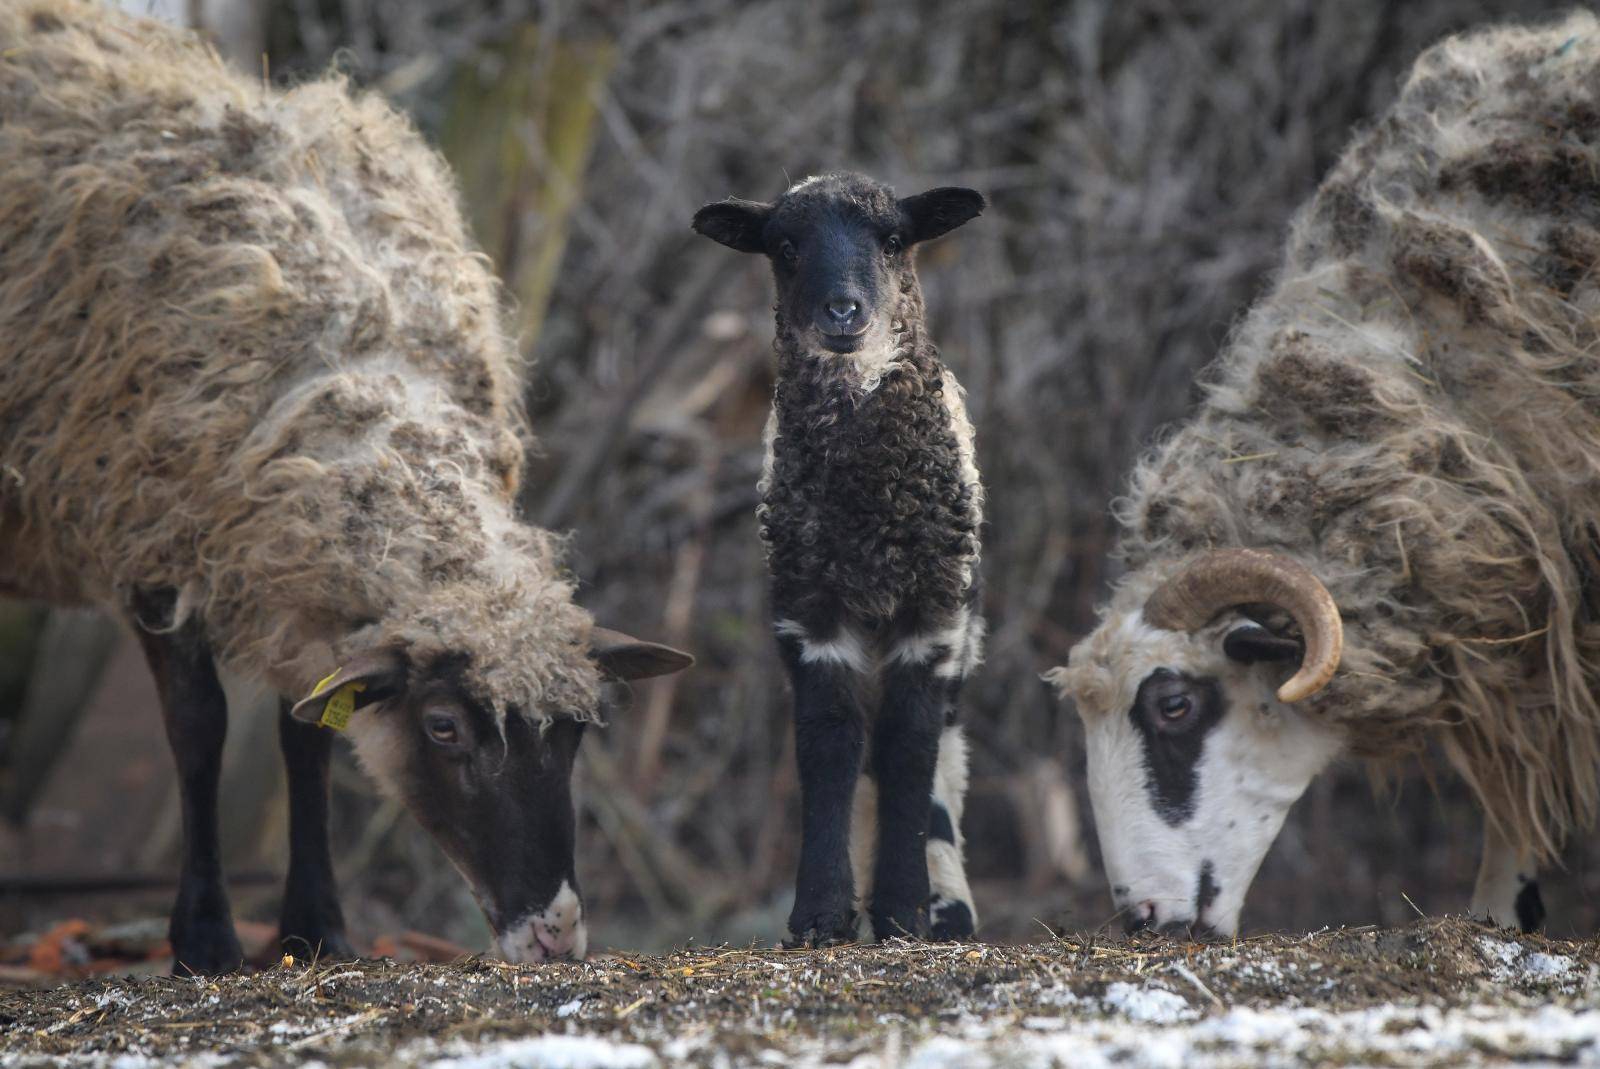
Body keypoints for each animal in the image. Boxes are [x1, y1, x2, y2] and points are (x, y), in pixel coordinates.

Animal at [0, 0, 688, 972]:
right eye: (443, 728)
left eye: (576, 729)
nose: (556, 931)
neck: (361, 373)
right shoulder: (151, 534)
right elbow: (198, 729)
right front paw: (206, 935)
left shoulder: (304, 580)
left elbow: (308, 737)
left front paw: (316, 927)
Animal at [691, 168, 979, 940]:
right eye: (785, 247)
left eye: (893, 240)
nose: (842, 312)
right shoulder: (807, 608)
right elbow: (829, 744)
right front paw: (821, 913)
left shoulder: (933, 611)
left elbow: (909, 748)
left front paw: (904, 909)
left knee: (944, 754)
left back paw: (949, 907)